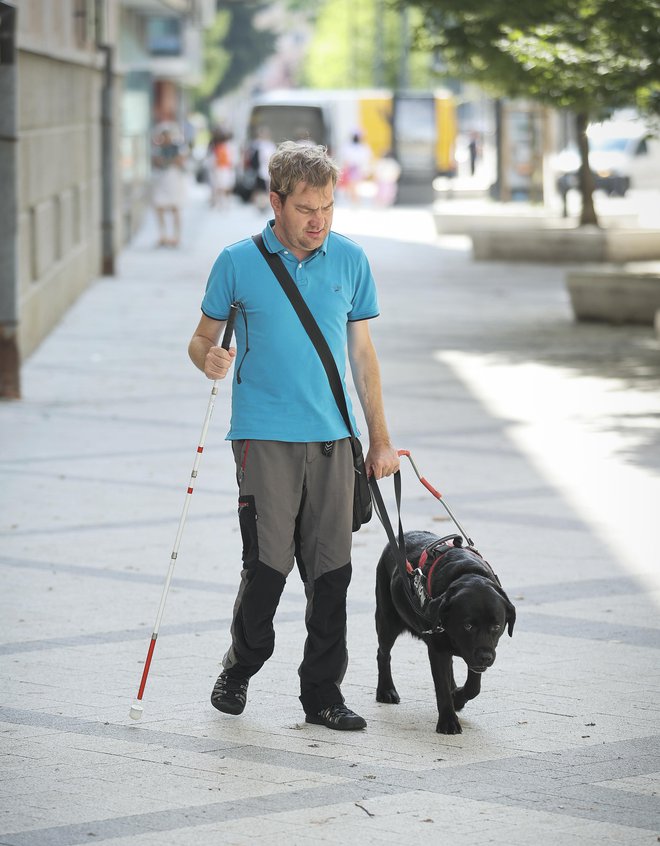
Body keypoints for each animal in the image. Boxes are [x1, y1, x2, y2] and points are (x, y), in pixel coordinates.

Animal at [376, 528, 516, 736]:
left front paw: (457, 697)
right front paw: (448, 720)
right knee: (383, 653)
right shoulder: (438, 650)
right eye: (468, 626)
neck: (468, 574)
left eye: (496, 627)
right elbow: (441, 686)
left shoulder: (473, 654)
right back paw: (386, 690)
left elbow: (474, 686)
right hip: (387, 620)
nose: (486, 657)